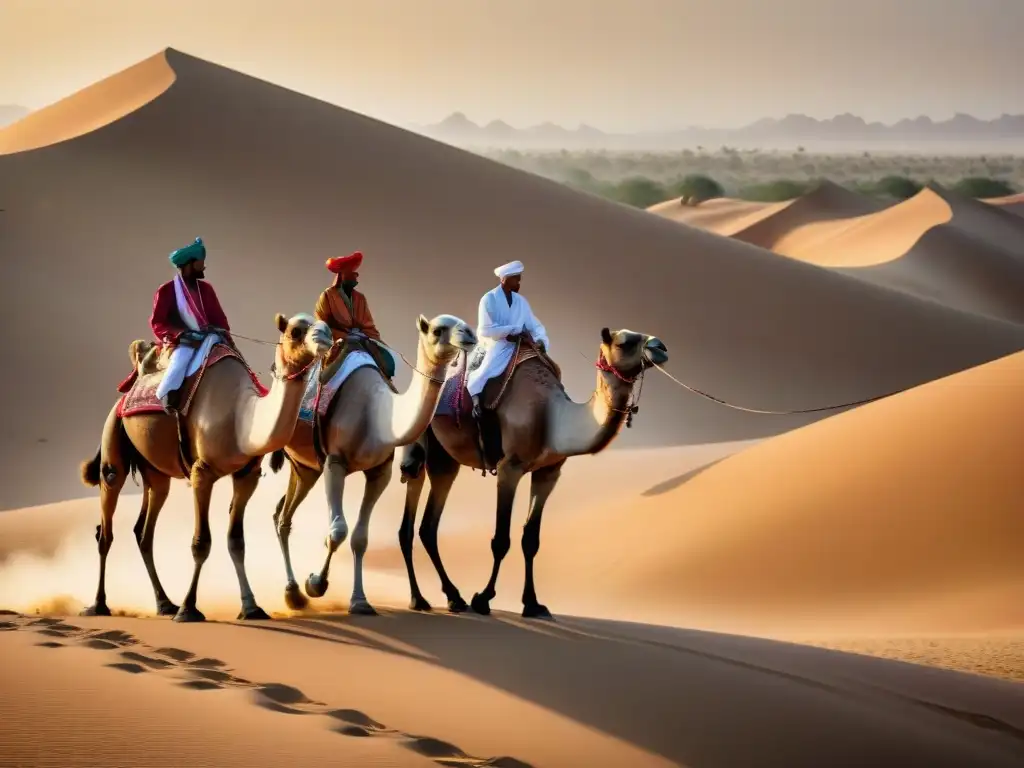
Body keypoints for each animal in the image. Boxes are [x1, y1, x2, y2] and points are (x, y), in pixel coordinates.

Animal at [78, 315, 331, 622]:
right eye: (296, 331)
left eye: (322, 323)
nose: (326, 336)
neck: (242, 419)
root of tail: (123, 397)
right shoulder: (202, 472)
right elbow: (201, 543)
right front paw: (189, 609)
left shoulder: (247, 475)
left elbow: (236, 542)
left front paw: (251, 607)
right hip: (113, 437)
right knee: (106, 524)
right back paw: (99, 605)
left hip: (155, 472)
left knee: (144, 531)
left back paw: (164, 603)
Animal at [268, 309, 475, 618]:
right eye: (438, 330)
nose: (470, 334)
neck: (378, 415)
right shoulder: (335, 463)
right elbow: (338, 531)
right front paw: (316, 583)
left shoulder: (381, 471)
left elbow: (359, 537)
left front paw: (360, 601)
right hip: (306, 461)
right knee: (284, 517)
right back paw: (295, 593)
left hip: (305, 467)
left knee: (282, 514)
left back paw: (294, 595)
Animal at [395, 327, 667, 622]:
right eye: (625, 342)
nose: (660, 347)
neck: (550, 416)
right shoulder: (509, 468)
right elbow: (501, 539)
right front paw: (483, 599)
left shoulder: (548, 472)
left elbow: (531, 540)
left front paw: (533, 604)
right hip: (421, 444)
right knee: (411, 515)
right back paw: (419, 599)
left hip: (445, 459)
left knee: (428, 526)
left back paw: (453, 597)